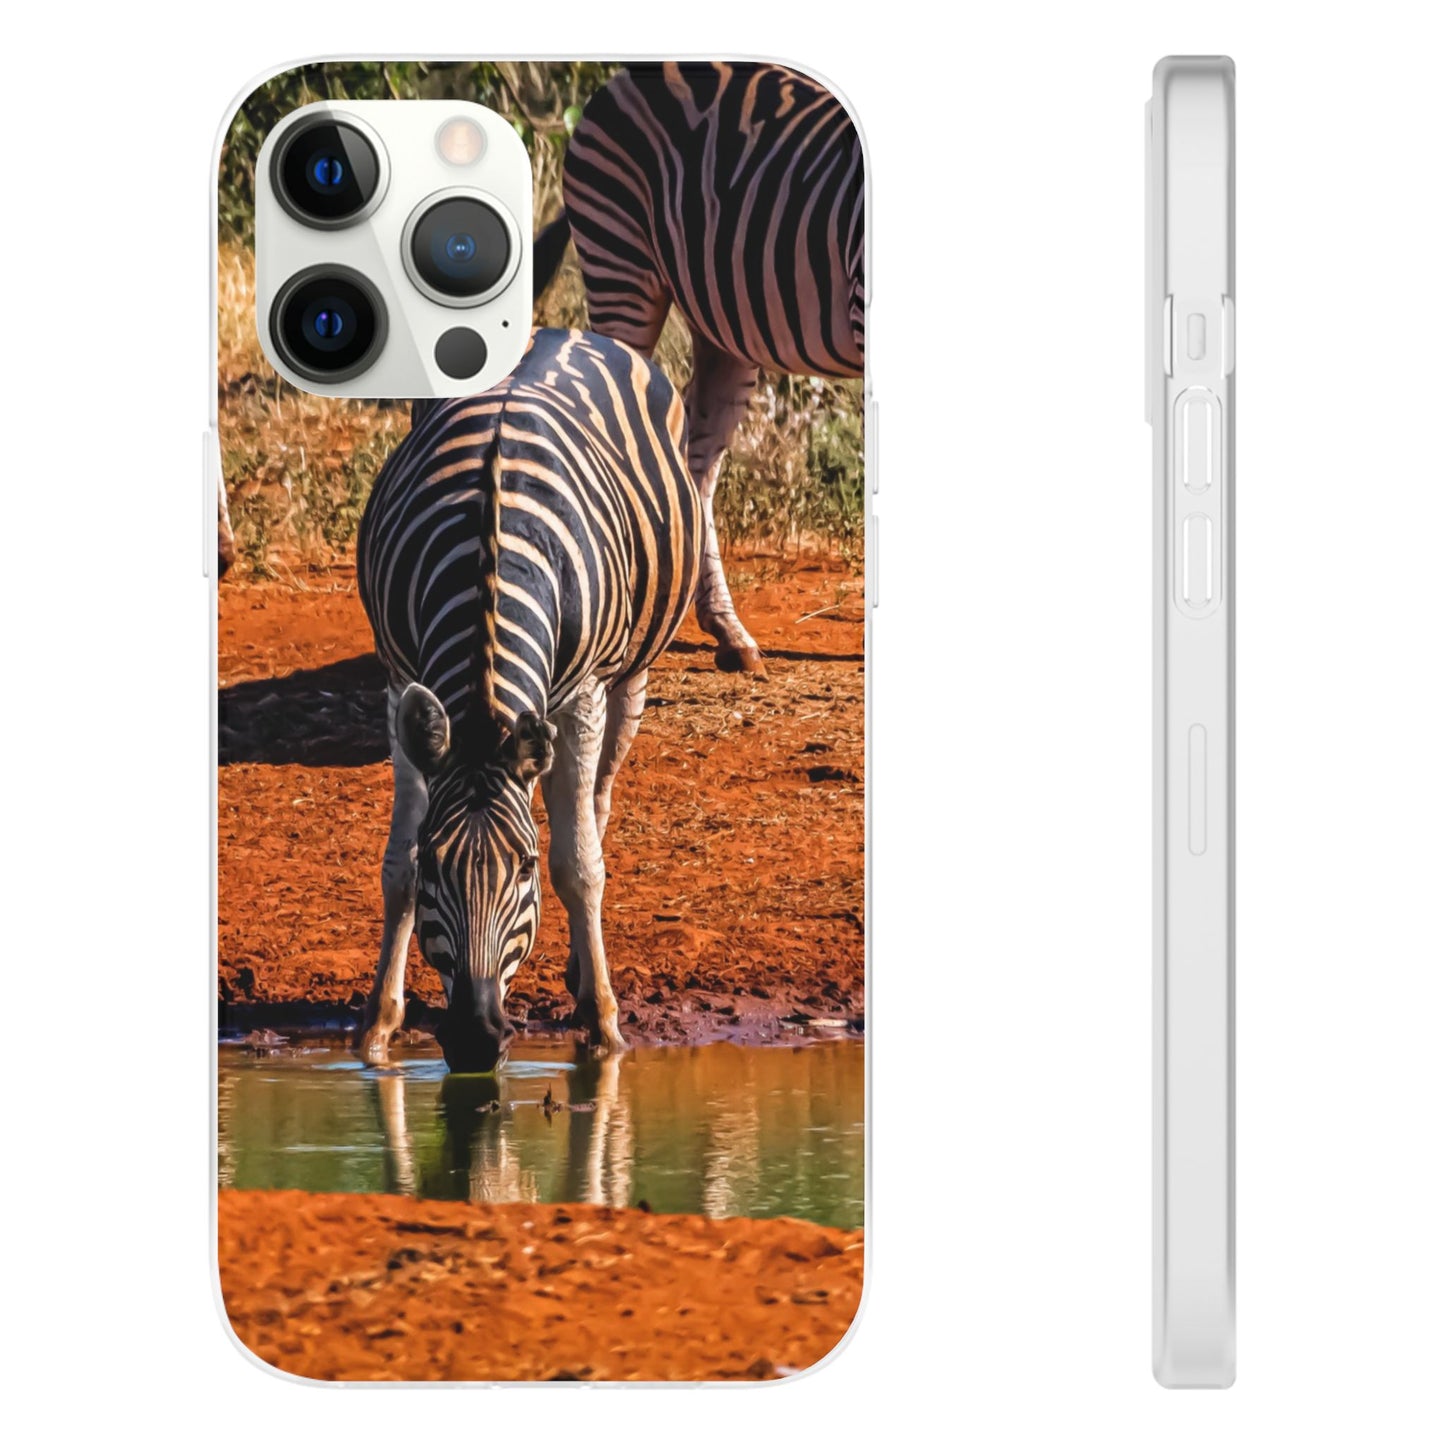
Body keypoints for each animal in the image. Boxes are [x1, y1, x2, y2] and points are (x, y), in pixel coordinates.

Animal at [355, 327, 700, 1070]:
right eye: (438, 862)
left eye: (525, 868)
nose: (475, 1039)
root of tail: (563, 329)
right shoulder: (399, 679)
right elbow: (395, 867)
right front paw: (378, 1025)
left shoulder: (583, 695)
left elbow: (580, 865)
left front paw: (603, 1025)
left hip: (629, 674)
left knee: (596, 804)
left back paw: (581, 971)